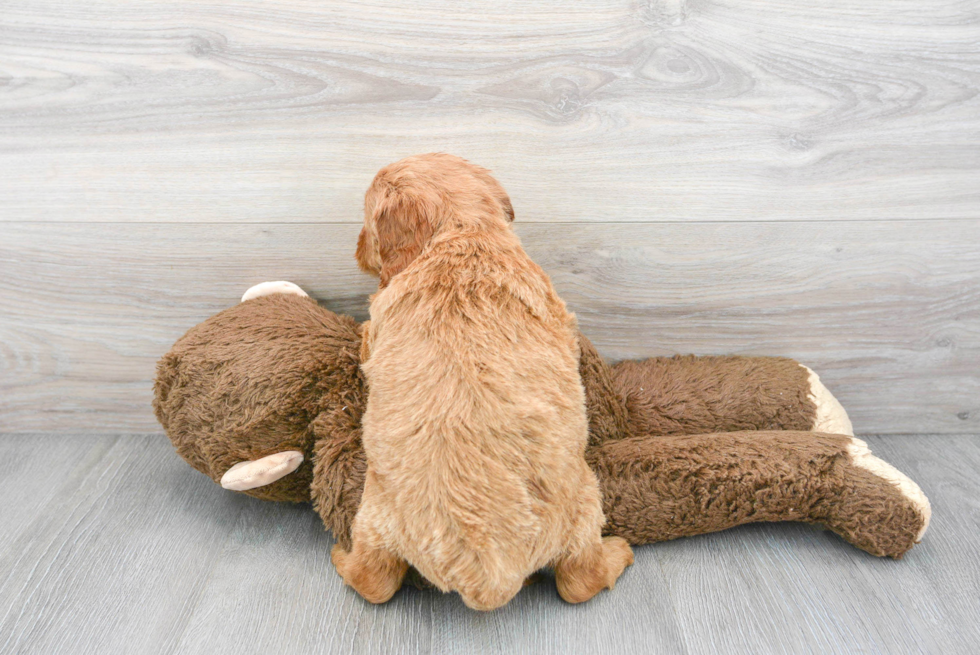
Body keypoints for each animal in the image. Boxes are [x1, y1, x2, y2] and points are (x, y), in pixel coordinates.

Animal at [332, 152, 636, 608]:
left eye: (366, 221)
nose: (355, 250)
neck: (464, 232)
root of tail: (487, 574)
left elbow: (367, 336)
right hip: (583, 501)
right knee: (579, 581)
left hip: (373, 515)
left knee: (373, 582)